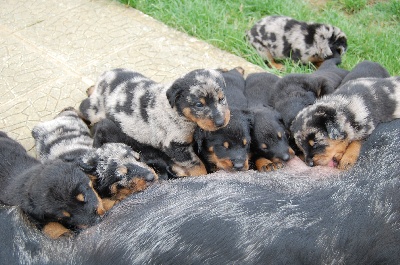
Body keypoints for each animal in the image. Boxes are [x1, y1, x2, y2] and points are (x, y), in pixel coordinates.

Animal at [79, 68, 231, 176]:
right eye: (199, 104)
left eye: (221, 99)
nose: (221, 122)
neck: (179, 113)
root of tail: (106, 76)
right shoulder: (175, 146)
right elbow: (196, 164)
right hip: (94, 110)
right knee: (83, 105)